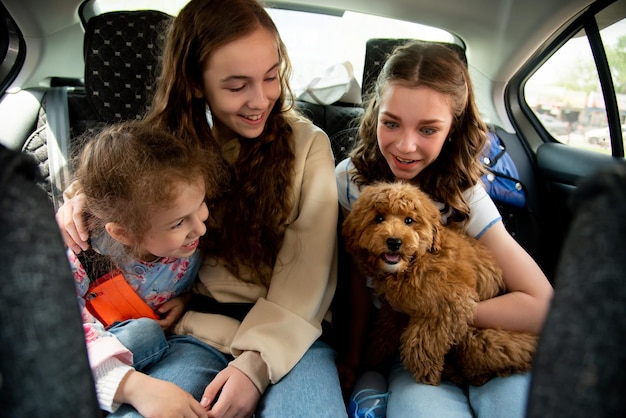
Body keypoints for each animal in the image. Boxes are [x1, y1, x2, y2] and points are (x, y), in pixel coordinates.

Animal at [342, 183, 536, 386]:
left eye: (409, 220)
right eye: (379, 218)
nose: (394, 242)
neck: (416, 262)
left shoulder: (450, 305)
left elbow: (422, 339)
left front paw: (426, 371)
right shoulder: (392, 310)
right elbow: (384, 333)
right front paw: (375, 358)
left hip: (482, 339)